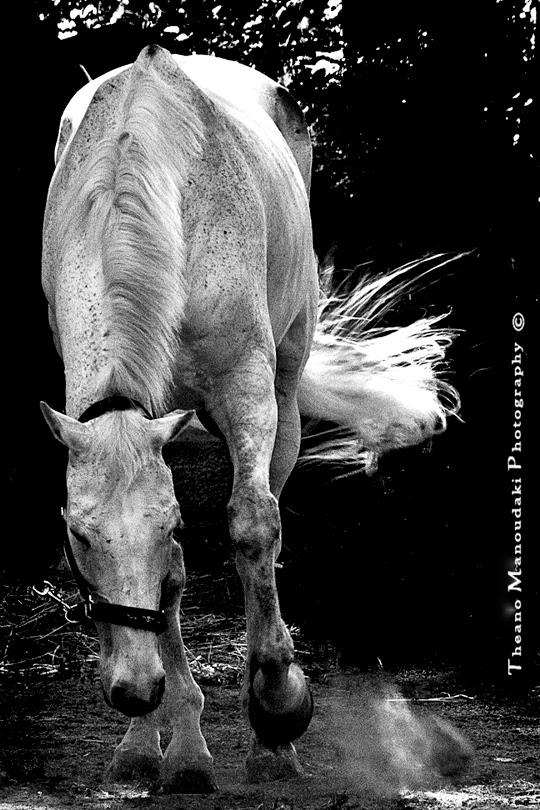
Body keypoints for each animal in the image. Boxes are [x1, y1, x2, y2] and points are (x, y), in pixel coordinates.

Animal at [40, 45, 458, 788]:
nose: (133, 692)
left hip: (284, 395)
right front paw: (161, 745)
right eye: (79, 537)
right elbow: (173, 576)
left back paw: (274, 737)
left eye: (166, 525)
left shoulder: (245, 395)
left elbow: (252, 527)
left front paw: (278, 711)